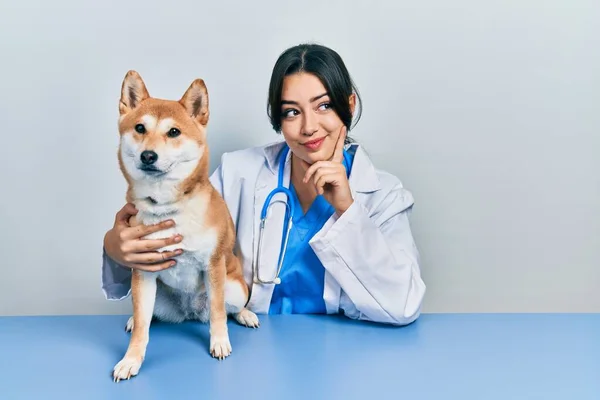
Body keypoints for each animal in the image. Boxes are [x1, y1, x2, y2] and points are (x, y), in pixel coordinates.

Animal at [112, 71, 258, 382]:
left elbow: (218, 313)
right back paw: (133, 319)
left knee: (229, 308)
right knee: (146, 316)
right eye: (140, 128)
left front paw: (219, 342)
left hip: (234, 287)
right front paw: (131, 359)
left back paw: (245, 315)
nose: (148, 155)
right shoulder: (143, 270)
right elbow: (142, 327)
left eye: (174, 132)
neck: (165, 207)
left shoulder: (213, 265)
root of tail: (190, 312)